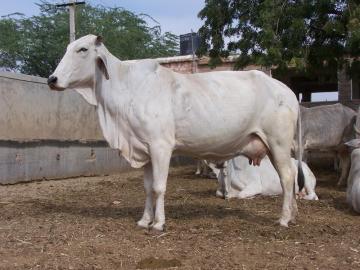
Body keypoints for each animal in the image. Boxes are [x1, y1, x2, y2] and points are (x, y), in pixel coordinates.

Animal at [49, 34, 304, 230]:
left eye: (82, 49)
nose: (52, 79)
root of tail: (286, 90)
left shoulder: (160, 146)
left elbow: (159, 187)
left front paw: (158, 223)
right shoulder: (144, 150)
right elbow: (147, 188)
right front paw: (144, 220)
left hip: (278, 142)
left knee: (287, 176)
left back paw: (283, 219)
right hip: (273, 146)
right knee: (290, 175)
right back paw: (292, 215)